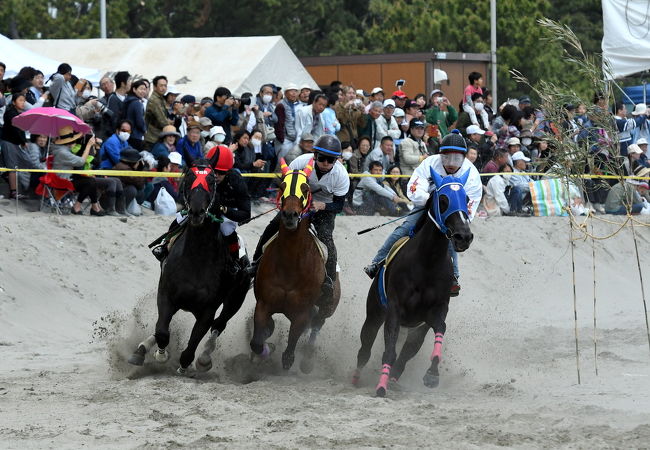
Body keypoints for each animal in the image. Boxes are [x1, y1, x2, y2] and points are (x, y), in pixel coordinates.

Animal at [128, 156, 249, 374]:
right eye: (189, 178)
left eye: (211, 180)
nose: (196, 212)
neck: (196, 258)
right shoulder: (166, 295)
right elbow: (162, 331)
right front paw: (160, 354)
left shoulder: (207, 310)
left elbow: (192, 345)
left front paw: (187, 364)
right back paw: (142, 349)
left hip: (236, 298)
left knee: (219, 324)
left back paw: (205, 357)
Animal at [248, 160, 342, 370]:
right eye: (282, 187)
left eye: (305, 189)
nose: (290, 215)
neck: (290, 266)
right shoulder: (264, 304)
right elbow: (257, 341)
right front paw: (266, 349)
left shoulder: (301, 314)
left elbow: (290, 351)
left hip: (329, 305)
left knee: (317, 324)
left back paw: (308, 356)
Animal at [352, 169, 474, 398]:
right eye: (443, 200)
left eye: (467, 199)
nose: (464, 236)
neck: (427, 262)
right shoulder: (394, 309)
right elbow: (389, 351)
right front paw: (381, 387)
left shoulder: (436, 311)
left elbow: (438, 330)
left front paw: (432, 375)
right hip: (374, 313)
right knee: (365, 347)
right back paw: (357, 377)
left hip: (416, 326)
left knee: (409, 349)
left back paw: (394, 376)